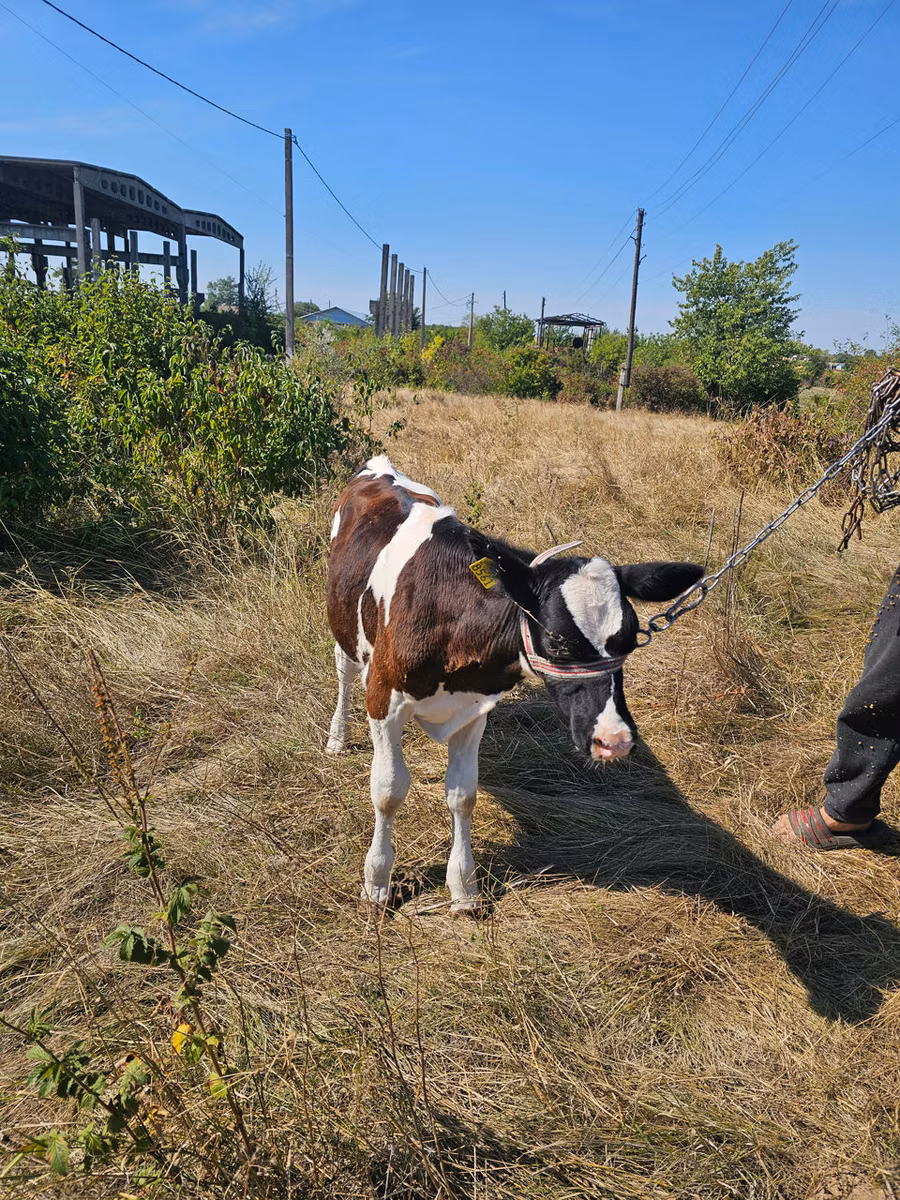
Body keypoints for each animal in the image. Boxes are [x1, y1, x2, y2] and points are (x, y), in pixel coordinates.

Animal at [326, 456, 702, 913]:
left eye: (630, 640)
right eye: (557, 640)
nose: (614, 741)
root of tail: (378, 465)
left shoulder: (473, 708)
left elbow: (462, 793)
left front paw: (464, 887)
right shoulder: (384, 698)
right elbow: (388, 790)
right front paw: (377, 883)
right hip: (344, 629)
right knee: (344, 673)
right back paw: (337, 737)